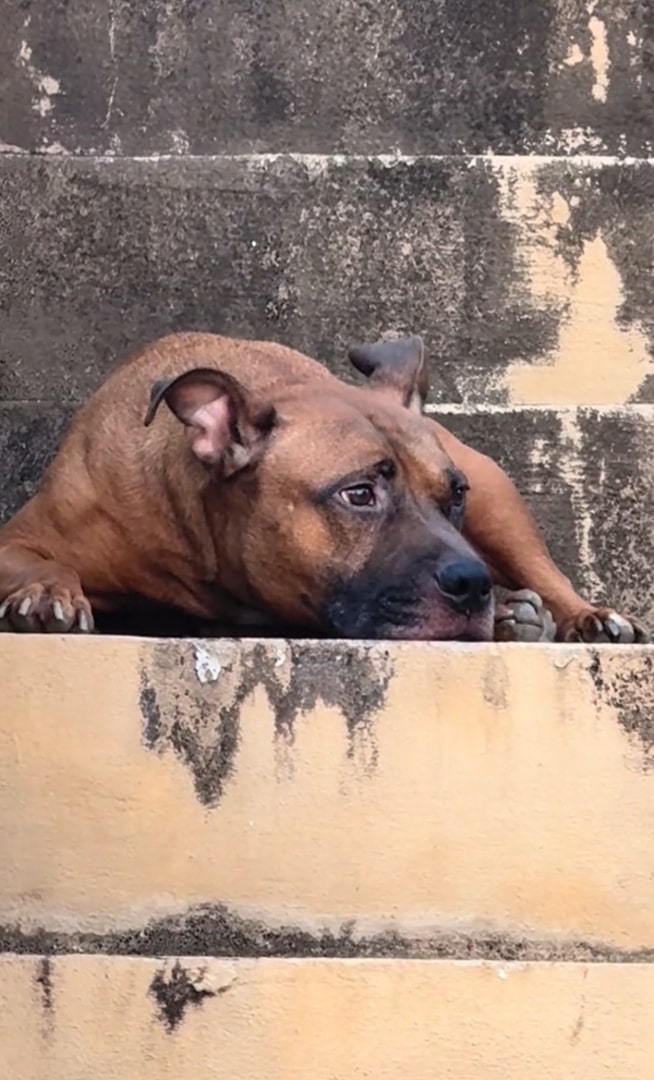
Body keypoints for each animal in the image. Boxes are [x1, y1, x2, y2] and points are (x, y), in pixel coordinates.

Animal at [0, 330, 647, 639]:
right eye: (358, 495)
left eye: (454, 495)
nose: (473, 582)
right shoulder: (23, 537)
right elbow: (47, 563)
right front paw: (48, 595)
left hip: (501, 504)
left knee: (547, 573)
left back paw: (572, 616)